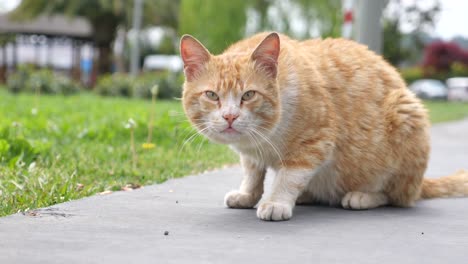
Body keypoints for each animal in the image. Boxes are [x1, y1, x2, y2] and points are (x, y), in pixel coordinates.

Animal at [179, 32, 468, 221]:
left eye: (249, 95)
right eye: (212, 95)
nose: (230, 117)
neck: (263, 138)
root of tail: (420, 184)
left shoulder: (315, 142)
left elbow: (288, 177)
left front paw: (276, 202)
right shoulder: (251, 155)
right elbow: (252, 175)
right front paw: (247, 195)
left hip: (406, 112)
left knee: (397, 197)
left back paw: (362, 197)